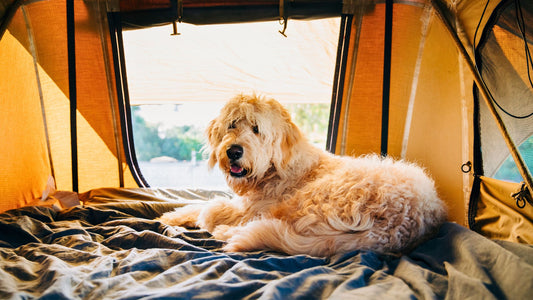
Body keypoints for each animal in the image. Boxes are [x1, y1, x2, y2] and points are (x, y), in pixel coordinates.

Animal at [156, 94, 446, 255]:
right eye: (232, 124)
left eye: (257, 129)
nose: (233, 151)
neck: (276, 168)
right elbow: (198, 205)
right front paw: (172, 215)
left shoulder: (249, 209)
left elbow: (209, 208)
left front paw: (199, 219)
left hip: (309, 199)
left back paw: (227, 233)